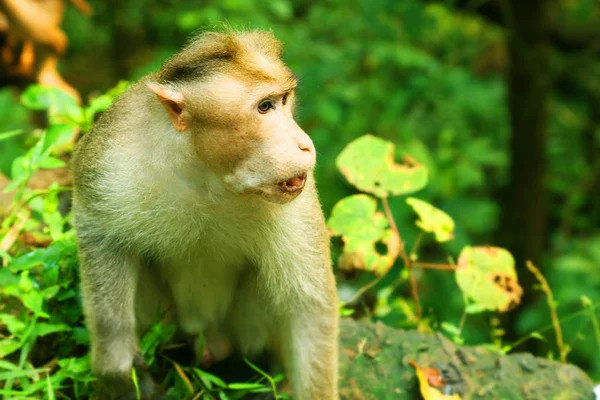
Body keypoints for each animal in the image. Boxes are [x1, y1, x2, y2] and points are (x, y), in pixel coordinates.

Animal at [71, 29, 338, 398]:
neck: (208, 176)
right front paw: (117, 364)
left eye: (285, 101)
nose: (305, 144)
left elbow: (307, 309)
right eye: (265, 107)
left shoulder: (295, 202)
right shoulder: (113, 160)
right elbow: (100, 233)